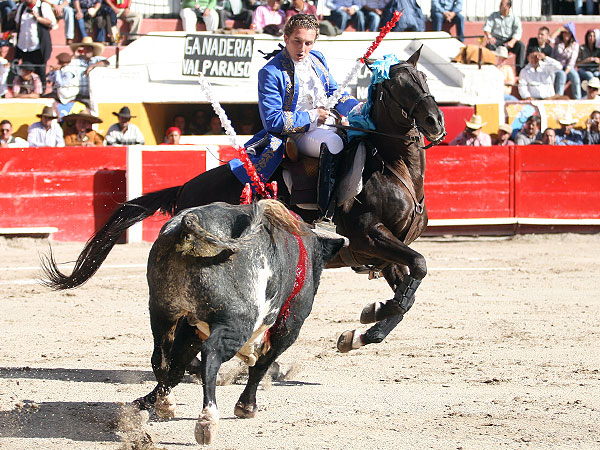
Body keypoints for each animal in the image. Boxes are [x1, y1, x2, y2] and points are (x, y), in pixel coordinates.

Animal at [133, 201, 344, 446]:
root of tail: (190, 223)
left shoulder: (192, 328)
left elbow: (177, 366)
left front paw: (153, 402)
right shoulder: (288, 327)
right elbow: (261, 365)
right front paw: (246, 406)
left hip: (162, 310)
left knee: (161, 358)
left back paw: (165, 403)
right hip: (237, 323)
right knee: (212, 355)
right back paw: (207, 421)